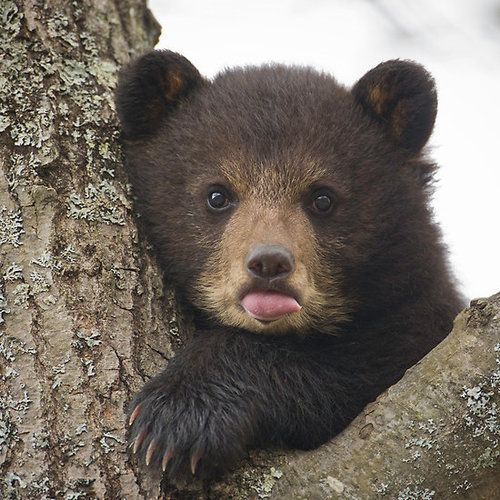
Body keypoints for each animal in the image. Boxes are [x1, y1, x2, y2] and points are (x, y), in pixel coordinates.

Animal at [115, 49, 462, 480]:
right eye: (217, 195)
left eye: (323, 198)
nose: (269, 262)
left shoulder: (419, 314)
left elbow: (367, 364)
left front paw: (176, 417)